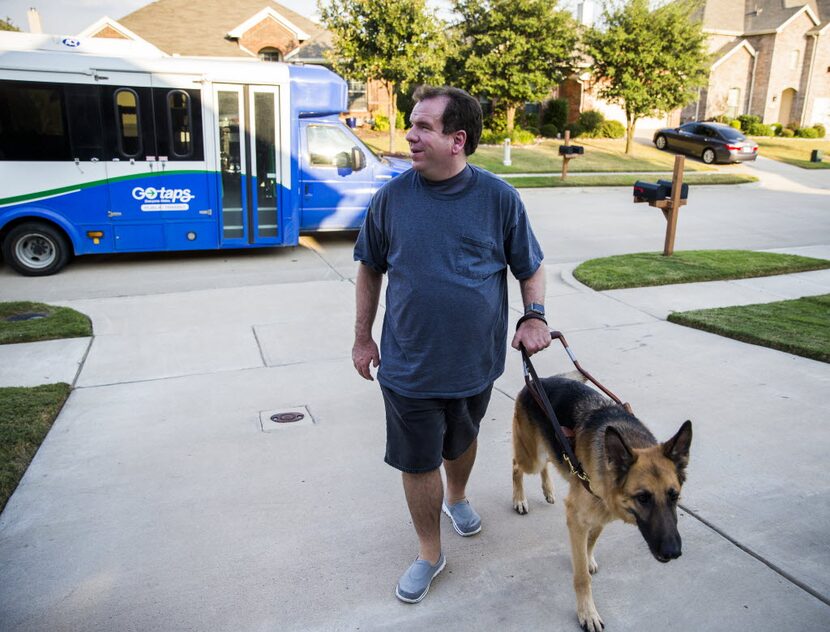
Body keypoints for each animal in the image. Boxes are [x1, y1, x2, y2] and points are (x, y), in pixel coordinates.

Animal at [512, 372, 696, 628]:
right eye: (643, 498)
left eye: (674, 495)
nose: (673, 552)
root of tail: (540, 380)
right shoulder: (577, 518)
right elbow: (581, 578)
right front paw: (587, 613)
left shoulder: (602, 513)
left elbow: (591, 541)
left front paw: (587, 558)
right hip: (531, 458)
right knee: (517, 467)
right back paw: (519, 499)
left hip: (547, 451)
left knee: (546, 464)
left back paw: (548, 489)